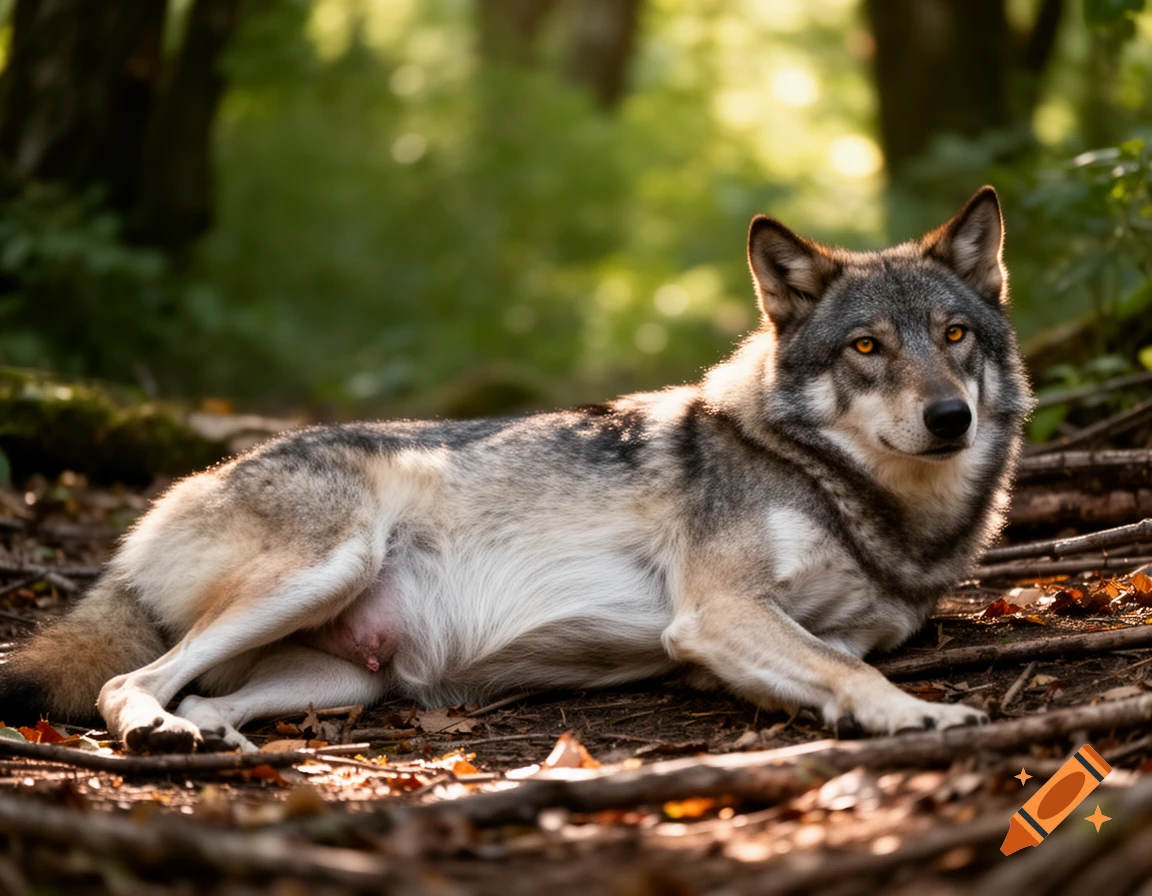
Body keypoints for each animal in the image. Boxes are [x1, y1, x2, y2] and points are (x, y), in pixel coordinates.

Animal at [0, 187, 1030, 752]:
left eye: (953, 336)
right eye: (866, 346)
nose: (950, 417)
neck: (861, 503)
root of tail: (181, 487)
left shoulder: (833, 626)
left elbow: (838, 657)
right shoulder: (719, 611)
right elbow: (848, 670)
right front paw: (918, 715)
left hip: (350, 680)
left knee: (202, 693)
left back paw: (205, 733)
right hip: (325, 566)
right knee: (126, 685)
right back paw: (154, 732)